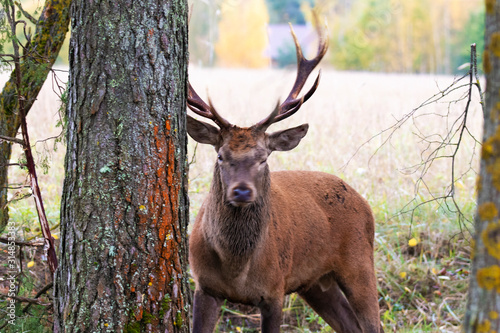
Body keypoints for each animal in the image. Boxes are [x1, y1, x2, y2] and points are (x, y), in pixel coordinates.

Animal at [187, 22, 382, 330]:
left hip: (360, 262)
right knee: (349, 325)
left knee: (373, 323)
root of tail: (362, 200)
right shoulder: (204, 286)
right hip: (315, 283)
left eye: (264, 158)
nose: (242, 191)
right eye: (220, 156)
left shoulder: (274, 290)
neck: (236, 269)